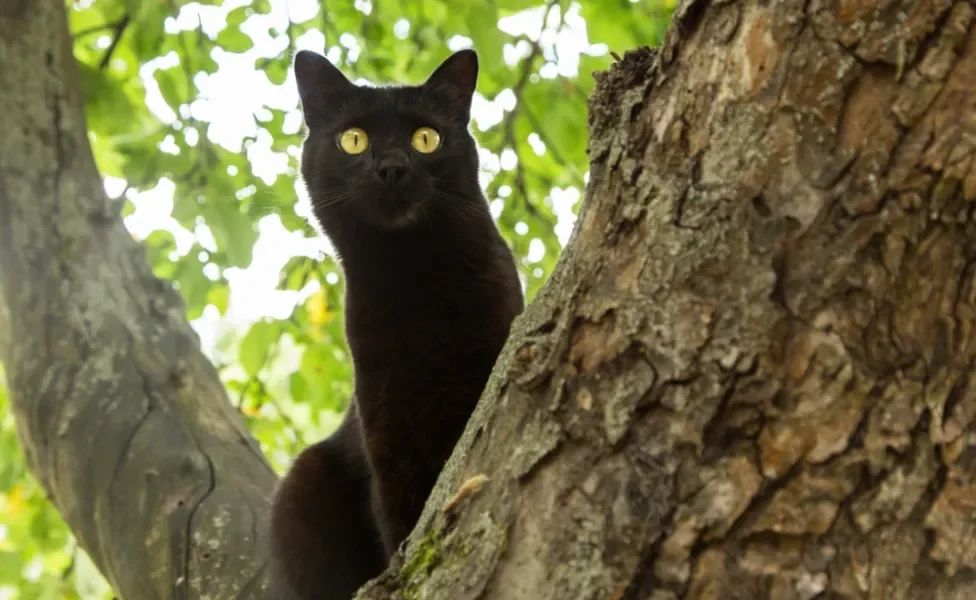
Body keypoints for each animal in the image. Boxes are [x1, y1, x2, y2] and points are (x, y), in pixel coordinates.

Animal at [264, 48, 528, 600]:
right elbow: (399, 518)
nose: (391, 167)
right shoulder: (387, 430)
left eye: (426, 138)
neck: (415, 285)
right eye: (353, 139)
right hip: (302, 484)